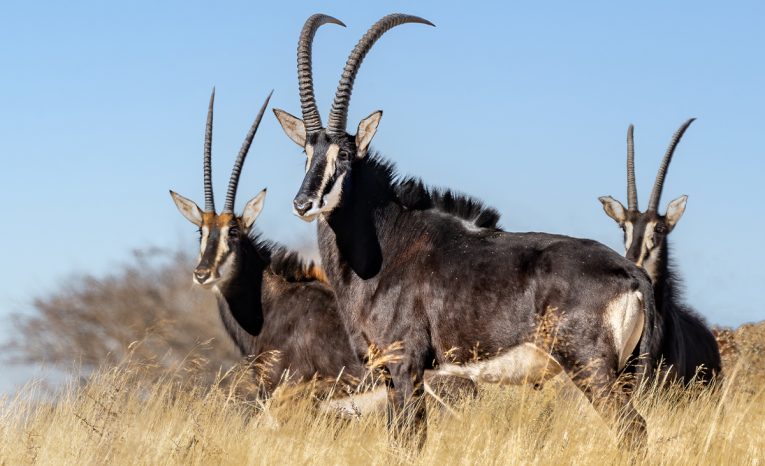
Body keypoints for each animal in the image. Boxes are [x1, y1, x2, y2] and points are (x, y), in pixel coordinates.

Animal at [274, 10, 664, 448]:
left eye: (343, 155)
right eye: (306, 152)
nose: (303, 204)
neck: (388, 245)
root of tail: (631, 272)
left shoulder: (406, 364)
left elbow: (411, 440)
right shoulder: (390, 375)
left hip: (590, 368)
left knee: (633, 428)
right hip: (620, 371)